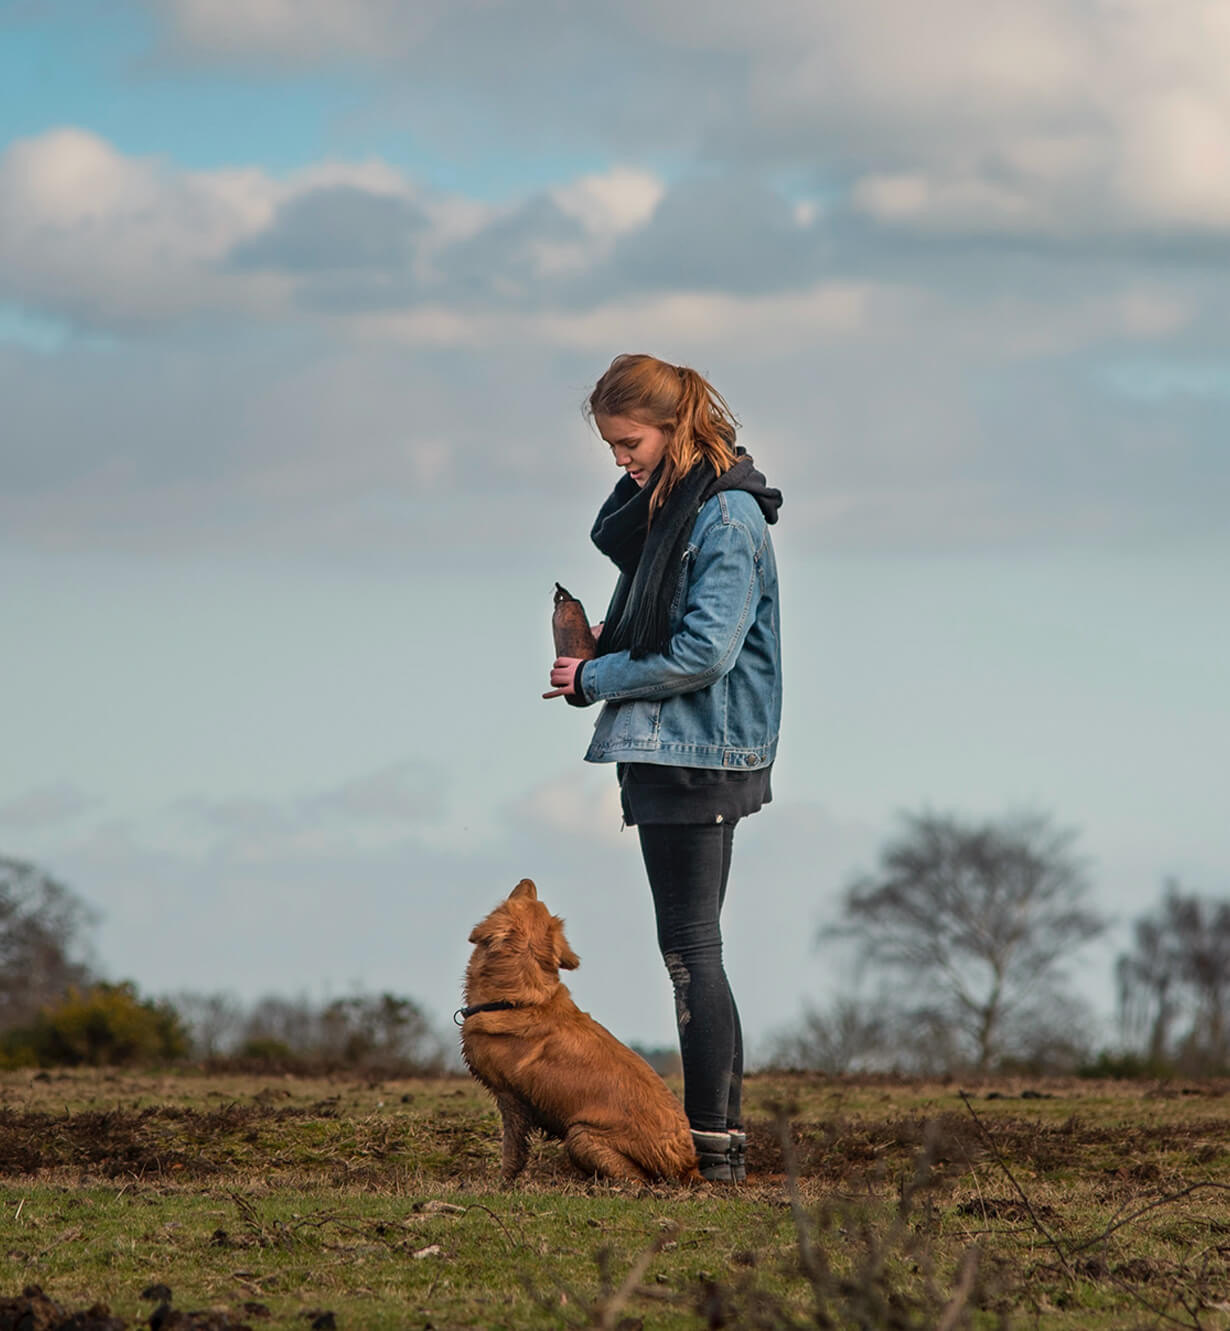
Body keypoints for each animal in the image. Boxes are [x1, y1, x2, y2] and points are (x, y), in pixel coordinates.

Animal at [455, 878, 697, 1181]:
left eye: (521, 900)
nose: (528, 880)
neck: (516, 1000)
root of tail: (689, 1165)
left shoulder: (510, 1097)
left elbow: (512, 1149)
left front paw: (503, 1182)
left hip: (580, 1134)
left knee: (637, 1179)